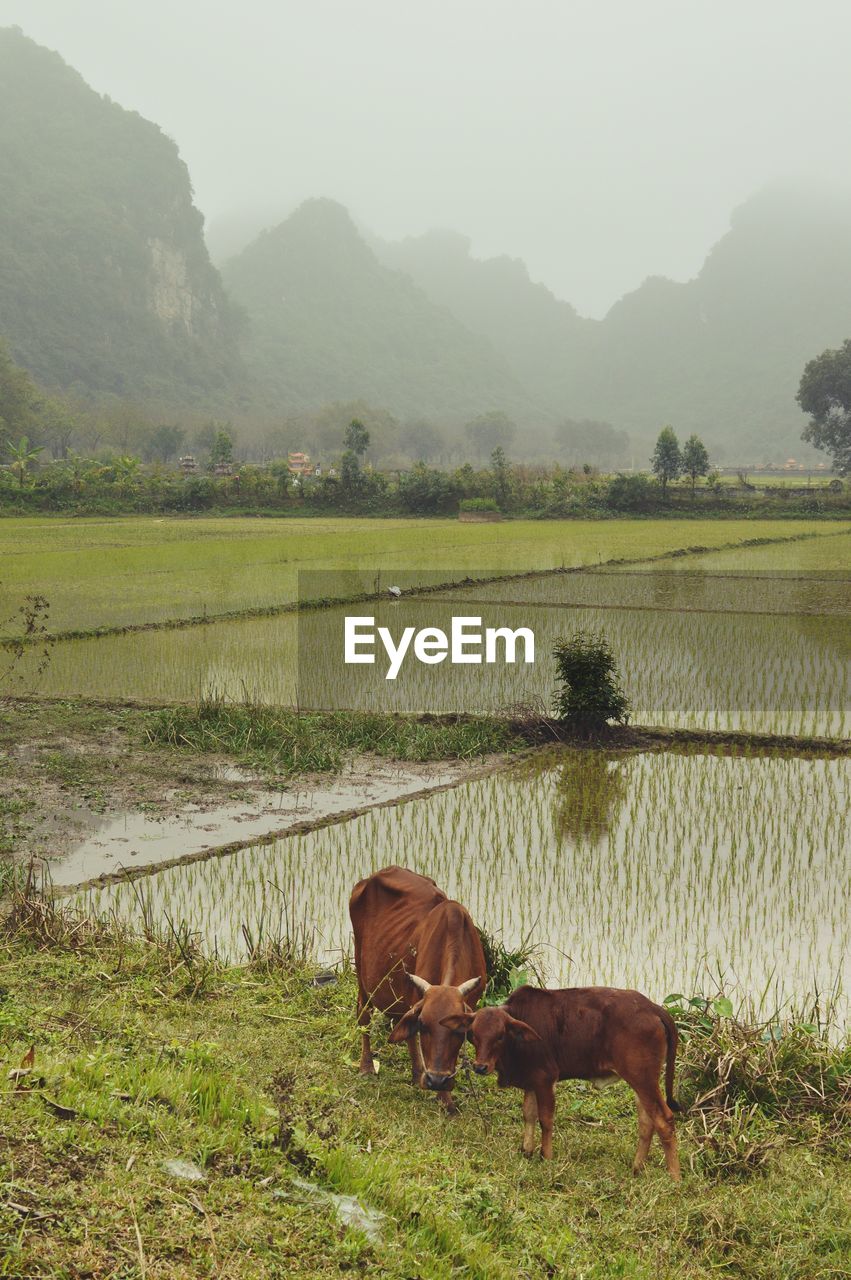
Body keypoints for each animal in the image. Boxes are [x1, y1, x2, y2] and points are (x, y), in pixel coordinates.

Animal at [348, 865, 483, 1116]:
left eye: (459, 1030)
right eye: (424, 1025)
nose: (436, 1080)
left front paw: (444, 1097)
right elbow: (413, 1035)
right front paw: (444, 1098)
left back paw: (416, 1074)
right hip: (361, 970)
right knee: (364, 1015)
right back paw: (367, 1067)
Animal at [440, 988, 680, 1177]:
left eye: (500, 1035)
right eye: (473, 1034)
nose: (480, 1067)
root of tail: (653, 1008)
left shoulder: (546, 1079)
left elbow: (545, 1120)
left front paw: (546, 1156)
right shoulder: (531, 1081)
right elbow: (528, 1114)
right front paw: (527, 1150)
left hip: (643, 1078)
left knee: (664, 1120)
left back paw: (674, 1177)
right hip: (641, 1081)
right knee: (647, 1123)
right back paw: (637, 1168)